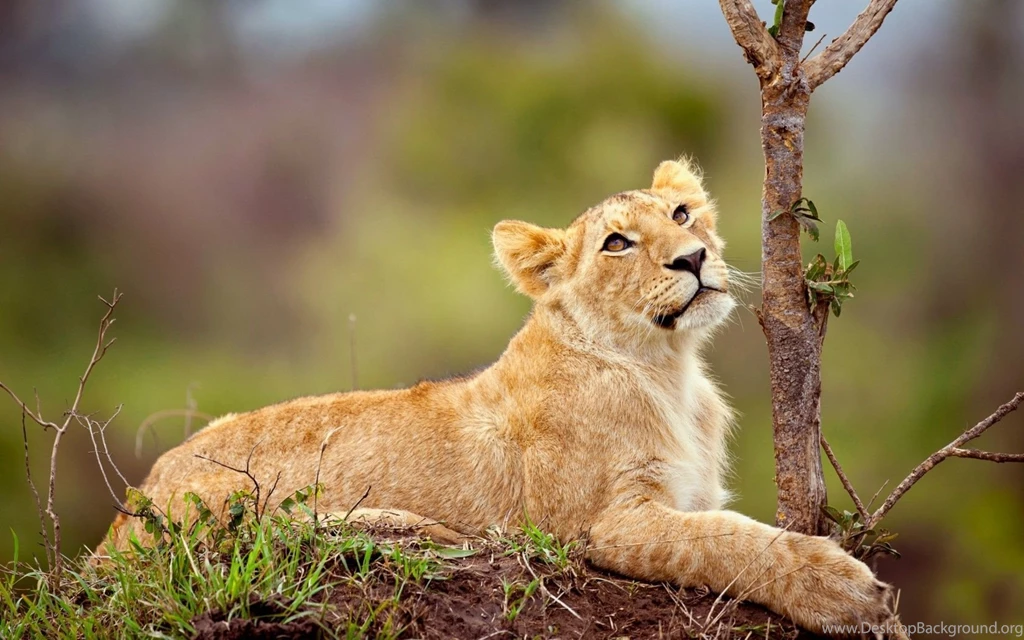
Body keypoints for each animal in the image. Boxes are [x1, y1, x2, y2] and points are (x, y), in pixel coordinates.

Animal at [100, 159, 892, 634]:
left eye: (681, 215)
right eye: (615, 244)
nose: (693, 259)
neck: (667, 367)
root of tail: (124, 514)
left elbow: (729, 528)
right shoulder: (601, 525)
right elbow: (726, 542)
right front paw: (846, 591)